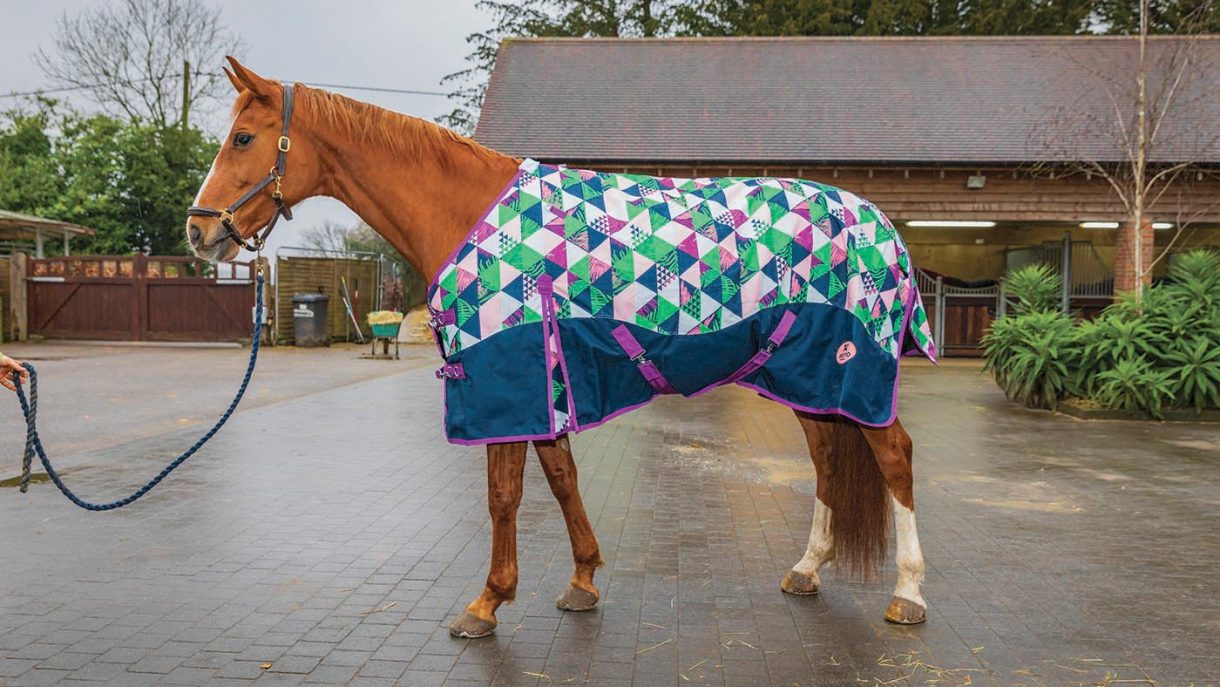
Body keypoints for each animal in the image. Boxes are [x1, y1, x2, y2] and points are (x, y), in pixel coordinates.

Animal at [187, 57, 932, 639]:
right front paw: (582, 579)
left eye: (244, 137)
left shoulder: (506, 374)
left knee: (895, 457)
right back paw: (807, 569)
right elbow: (562, 477)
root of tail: (883, 226)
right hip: (808, 377)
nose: (199, 232)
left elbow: (504, 495)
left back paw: (908, 593)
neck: (466, 212)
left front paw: (487, 602)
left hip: (855, 368)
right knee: (830, 458)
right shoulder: (547, 378)